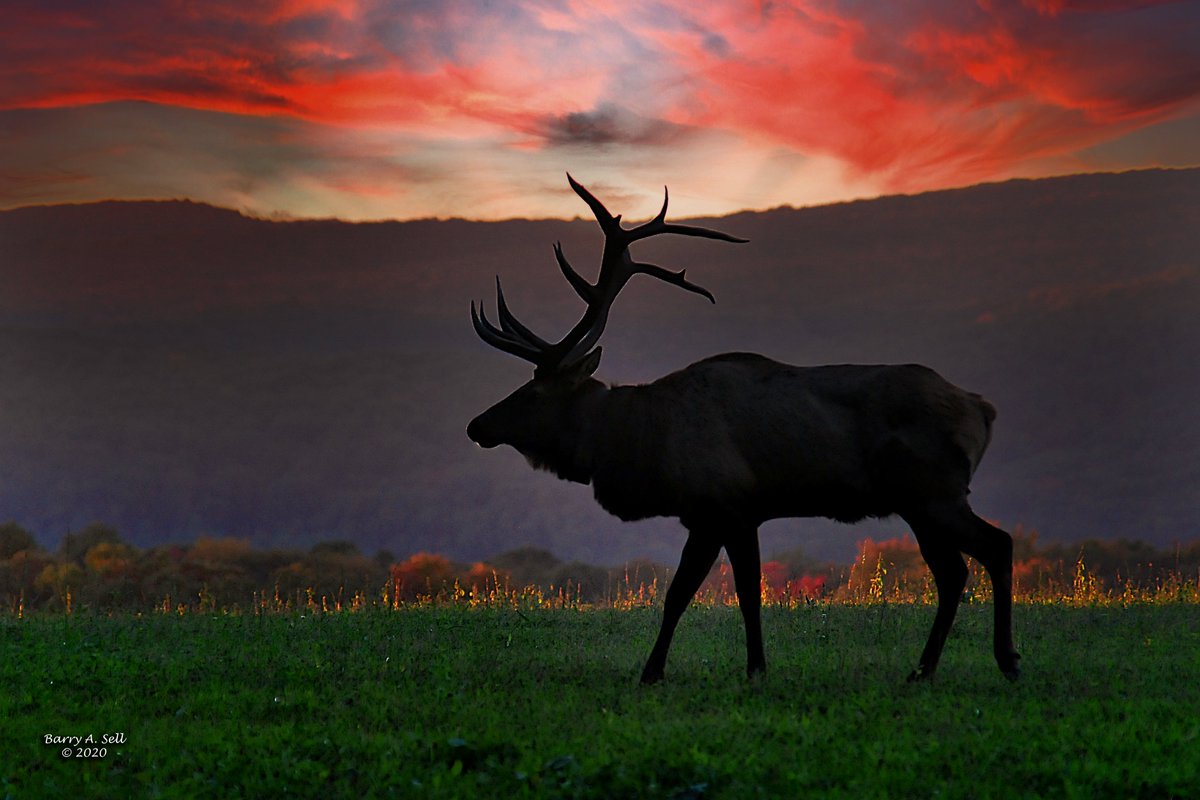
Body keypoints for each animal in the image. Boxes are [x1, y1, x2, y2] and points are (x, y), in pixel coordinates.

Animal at [467, 174, 1020, 684]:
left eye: (533, 393)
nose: (476, 425)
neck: (641, 441)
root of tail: (983, 409)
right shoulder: (723, 515)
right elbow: (715, 594)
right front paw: (718, 668)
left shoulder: (723, 506)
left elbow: (710, 594)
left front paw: (693, 671)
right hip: (918, 502)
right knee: (953, 571)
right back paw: (923, 670)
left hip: (935, 492)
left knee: (996, 546)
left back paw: (1005, 661)